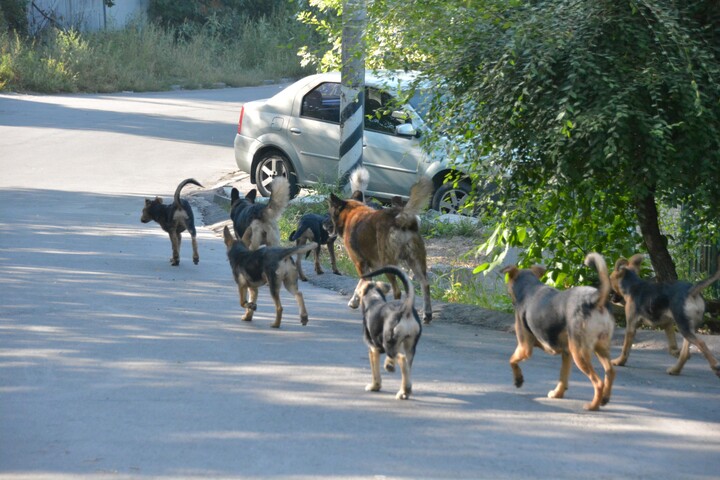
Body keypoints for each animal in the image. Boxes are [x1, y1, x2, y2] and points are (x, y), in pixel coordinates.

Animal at [328, 169, 434, 322]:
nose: (326, 227)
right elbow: (361, 285)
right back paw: (427, 314)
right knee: (425, 284)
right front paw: (355, 301)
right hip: (416, 262)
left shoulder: (360, 263)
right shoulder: (369, 267)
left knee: (397, 291)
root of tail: (400, 219)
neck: (352, 213)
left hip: (389, 264)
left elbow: (363, 285)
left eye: (329, 214)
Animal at [356, 264, 422, 400]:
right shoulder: (394, 343)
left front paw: (374, 386)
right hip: (409, 346)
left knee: (402, 359)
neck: (373, 300)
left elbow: (375, 372)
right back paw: (405, 390)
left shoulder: (373, 349)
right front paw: (389, 364)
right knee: (407, 367)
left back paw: (403, 391)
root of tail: (405, 309)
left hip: (389, 345)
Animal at [504, 253, 616, 410]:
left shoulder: (524, 348)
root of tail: (595, 299)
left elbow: (511, 360)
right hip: (600, 348)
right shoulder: (566, 353)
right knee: (610, 372)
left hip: (579, 353)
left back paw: (593, 405)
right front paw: (558, 393)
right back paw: (604, 398)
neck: (529, 288)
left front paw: (518, 380)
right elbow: (563, 376)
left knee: (598, 382)